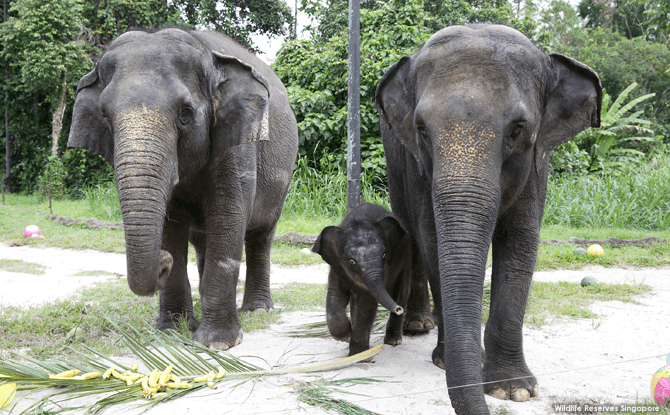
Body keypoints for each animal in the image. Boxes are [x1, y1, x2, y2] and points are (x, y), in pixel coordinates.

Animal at [69, 28, 300, 352]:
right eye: (105, 116)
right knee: (204, 239)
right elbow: (171, 223)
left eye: (185, 114)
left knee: (260, 235)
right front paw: (172, 332)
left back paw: (257, 310)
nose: (162, 262)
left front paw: (217, 343)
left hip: (283, 174)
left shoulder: (236, 140)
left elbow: (228, 215)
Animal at [316, 203, 414, 356]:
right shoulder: (336, 265)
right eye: (351, 261)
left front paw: (358, 354)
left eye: (384, 255)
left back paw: (393, 341)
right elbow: (335, 295)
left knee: (401, 290)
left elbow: (366, 303)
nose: (398, 309)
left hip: (406, 255)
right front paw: (344, 336)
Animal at [378, 24, 604, 414]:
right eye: (421, 129)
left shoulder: (536, 165)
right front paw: (445, 362)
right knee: (414, 238)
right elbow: (433, 242)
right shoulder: (417, 168)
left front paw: (512, 390)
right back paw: (419, 325)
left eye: (517, 129)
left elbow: (521, 243)